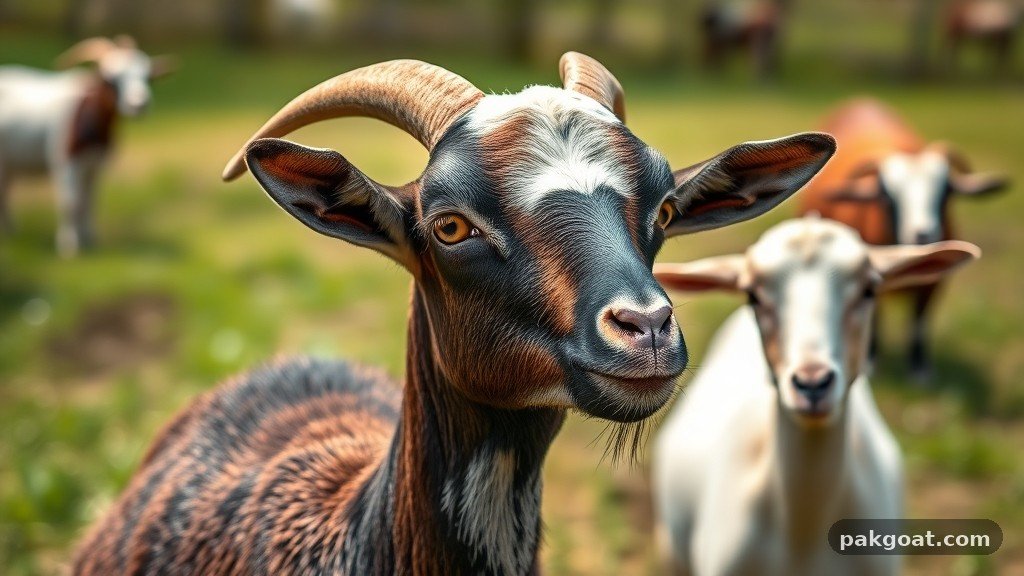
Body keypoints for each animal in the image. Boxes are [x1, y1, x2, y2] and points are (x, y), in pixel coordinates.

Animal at [0, 35, 174, 256]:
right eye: (110, 79)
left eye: (148, 77)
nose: (139, 105)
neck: (87, 114)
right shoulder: (65, 162)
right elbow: (71, 203)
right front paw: (69, 246)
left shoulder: (95, 165)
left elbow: (90, 202)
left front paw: (90, 239)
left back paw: (10, 231)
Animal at [798, 98, 1007, 380]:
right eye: (886, 197)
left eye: (946, 192)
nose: (923, 234)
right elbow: (874, 318)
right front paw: (870, 361)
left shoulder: (936, 282)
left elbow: (920, 321)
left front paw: (920, 369)